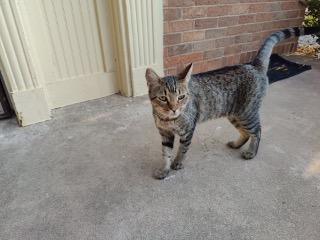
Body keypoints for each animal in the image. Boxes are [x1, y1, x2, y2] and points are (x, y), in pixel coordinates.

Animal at [146, 27, 320, 179]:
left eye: (181, 97)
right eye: (163, 98)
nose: (174, 109)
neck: (168, 119)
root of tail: (253, 65)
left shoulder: (188, 131)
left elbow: (182, 149)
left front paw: (177, 163)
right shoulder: (165, 134)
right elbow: (165, 153)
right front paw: (164, 169)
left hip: (247, 113)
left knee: (257, 130)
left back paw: (251, 153)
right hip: (236, 115)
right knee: (245, 133)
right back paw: (237, 144)